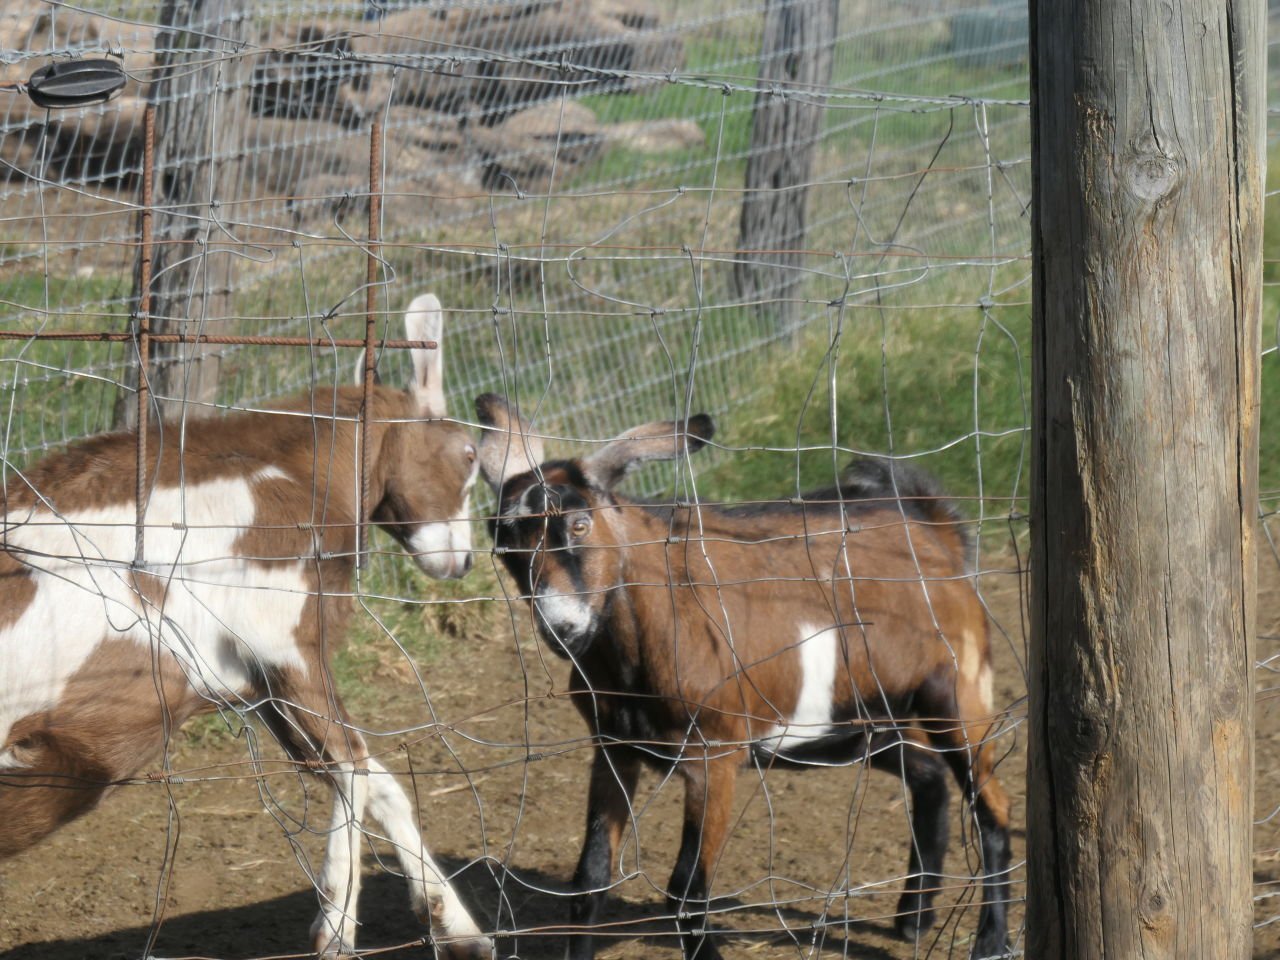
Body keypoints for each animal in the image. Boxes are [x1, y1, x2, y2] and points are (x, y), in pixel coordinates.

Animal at [0, 296, 488, 957]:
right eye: (469, 455)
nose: (460, 561)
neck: (292, 475)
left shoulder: (253, 686)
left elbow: (373, 778)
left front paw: (455, 924)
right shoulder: (286, 646)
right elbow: (352, 762)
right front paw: (335, 926)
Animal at [476, 396, 1013, 960]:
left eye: (580, 524)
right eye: (504, 544)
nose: (562, 628)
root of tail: (934, 530)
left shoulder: (715, 756)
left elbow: (686, 890)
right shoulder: (614, 747)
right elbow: (589, 881)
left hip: (956, 695)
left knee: (992, 806)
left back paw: (989, 939)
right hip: (858, 722)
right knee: (930, 778)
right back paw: (913, 918)